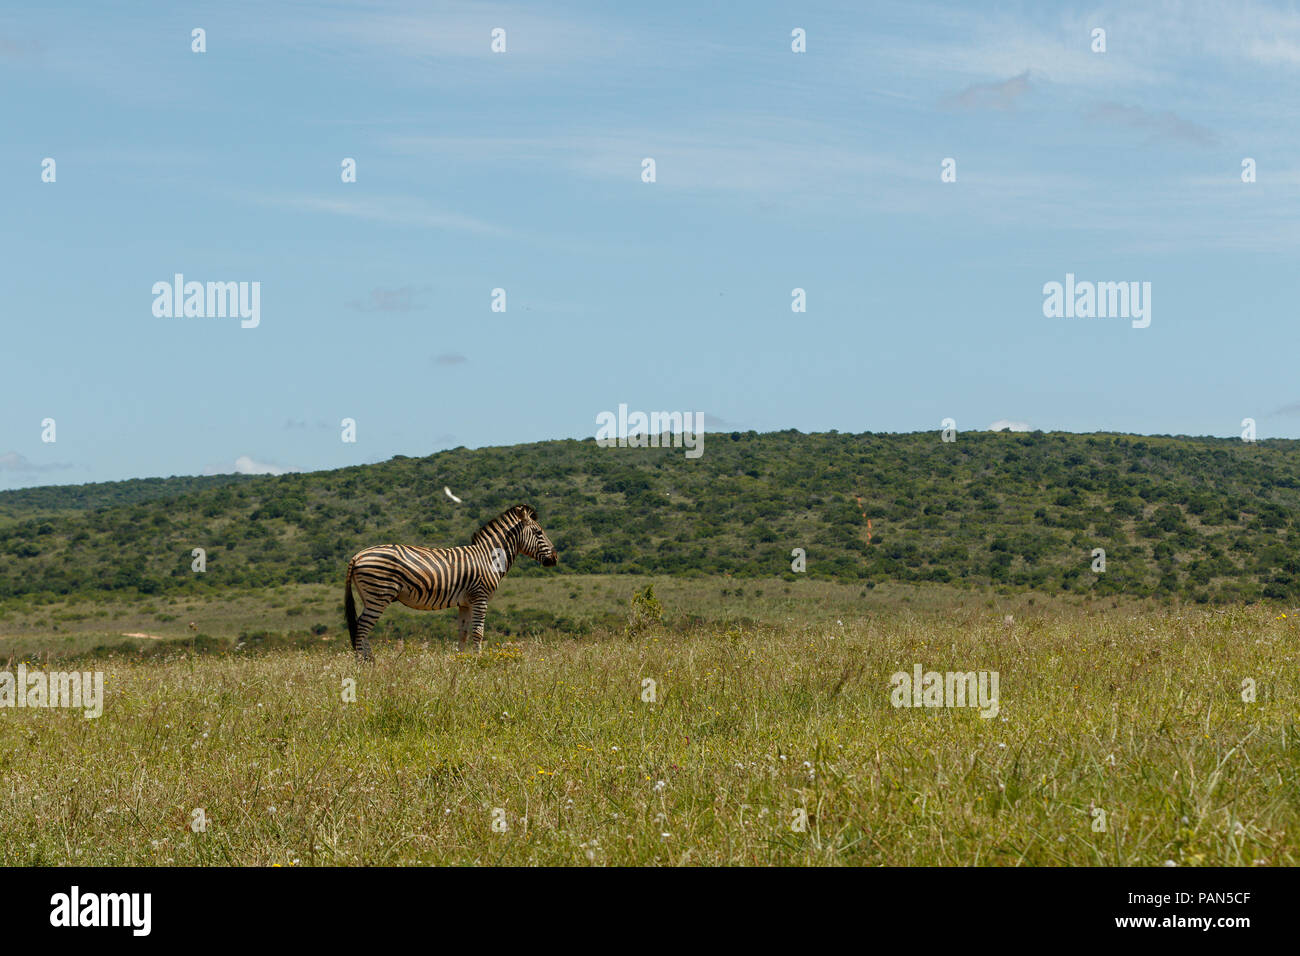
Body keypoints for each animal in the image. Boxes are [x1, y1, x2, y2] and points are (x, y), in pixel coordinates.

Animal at [343, 504, 558, 660]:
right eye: (539, 533)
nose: (555, 558)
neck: (489, 558)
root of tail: (357, 555)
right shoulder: (480, 597)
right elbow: (478, 632)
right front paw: (479, 660)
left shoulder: (465, 602)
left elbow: (463, 633)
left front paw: (460, 661)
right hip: (379, 594)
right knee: (362, 627)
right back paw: (364, 664)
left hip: (369, 596)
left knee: (360, 626)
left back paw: (370, 661)